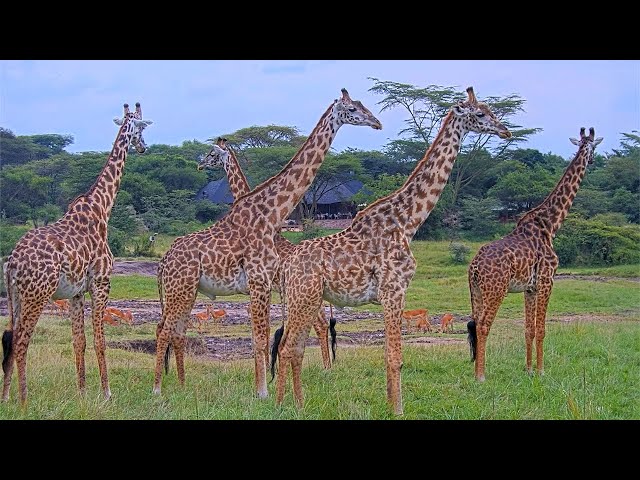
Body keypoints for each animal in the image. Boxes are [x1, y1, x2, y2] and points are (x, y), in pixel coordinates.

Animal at [1, 102, 153, 404]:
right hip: (37, 294)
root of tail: (12, 262)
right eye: (141, 128)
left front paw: (81, 392)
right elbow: (99, 339)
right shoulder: (101, 282)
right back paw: (24, 399)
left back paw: (7, 397)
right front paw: (106, 393)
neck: (102, 208)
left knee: (9, 337)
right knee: (22, 340)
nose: (144, 147)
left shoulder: (76, 292)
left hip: (15, 297)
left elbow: (78, 341)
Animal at [196, 137, 338, 370]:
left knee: (319, 324)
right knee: (323, 323)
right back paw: (327, 366)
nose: (200, 165)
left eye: (212, 154)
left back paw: (325, 367)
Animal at [272, 87, 512, 416]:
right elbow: (395, 357)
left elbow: (389, 354)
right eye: (479, 114)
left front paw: (389, 404)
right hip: (303, 297)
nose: (505, 131)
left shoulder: (390, 294)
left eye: (491, 110)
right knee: (287, 346)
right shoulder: (394, 289)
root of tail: (286, 266)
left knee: (292, 347)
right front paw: (398, 410)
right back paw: (287, 405)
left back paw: (293, 404)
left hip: (307, 299)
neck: (408, 221)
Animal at [468, 127, 604, 382]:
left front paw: (529, 370)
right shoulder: (547, 279)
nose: (592, 160)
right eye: (593, 147)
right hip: (496, 289)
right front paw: (541, 371)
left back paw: (475, 372)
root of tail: (474, 267)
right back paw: (481, 376)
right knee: (482, 325)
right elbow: (541, 329)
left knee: (474, 325)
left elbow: (528, 329)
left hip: (476, 291)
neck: (550, 225)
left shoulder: (529, 287)